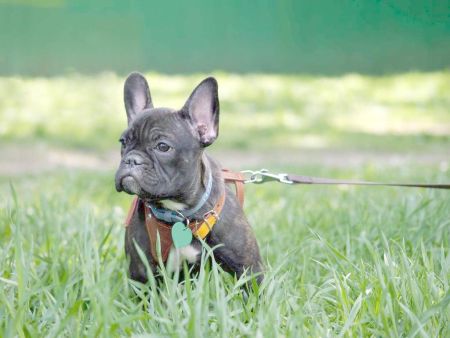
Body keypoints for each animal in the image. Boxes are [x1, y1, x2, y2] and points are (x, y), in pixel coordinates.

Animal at [114, 72, 264, 284]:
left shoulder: (249, 271)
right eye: (123, 142)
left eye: (162, 146)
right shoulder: (141, 273)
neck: (178, 213)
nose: (131, 160)